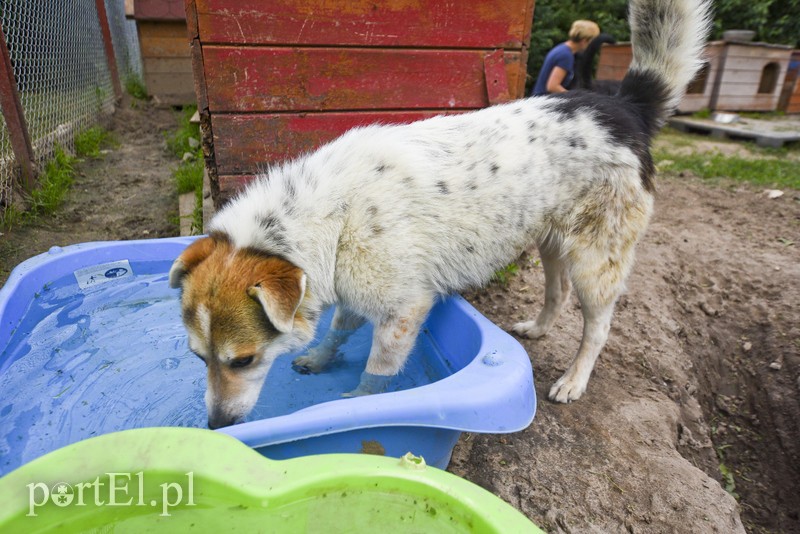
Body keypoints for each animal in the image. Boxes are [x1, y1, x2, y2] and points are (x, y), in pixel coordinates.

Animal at [170, 0, 712, 430]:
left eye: (244, 360)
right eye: (198, 357)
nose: (215, 426)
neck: (332, 214)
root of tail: (625, 108)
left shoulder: (404, 310)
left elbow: (377, 371)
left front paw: (360, 403)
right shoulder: (354, 286)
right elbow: (340, 328)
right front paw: (320, 358)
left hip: (595, 260)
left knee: (597, 327)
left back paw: (573, 380)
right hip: (552, 241)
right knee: (555, 293)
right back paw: (537, 329)